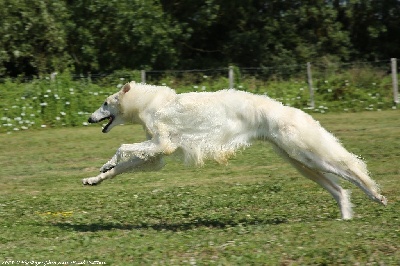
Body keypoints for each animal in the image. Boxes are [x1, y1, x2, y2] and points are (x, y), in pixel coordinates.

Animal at [84, 82, 388, 219]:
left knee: (353, 170)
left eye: (105, 102)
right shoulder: (156, 154)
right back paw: (346, 216)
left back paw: (377, 195)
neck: (150, 103)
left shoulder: (162, 143)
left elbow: (122, 146)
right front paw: (96, 177)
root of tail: (290, 110)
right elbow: (121, 165)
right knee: (339, 189)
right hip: (300, 163)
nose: (88, 118)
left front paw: (105, 163)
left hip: (310, 156)